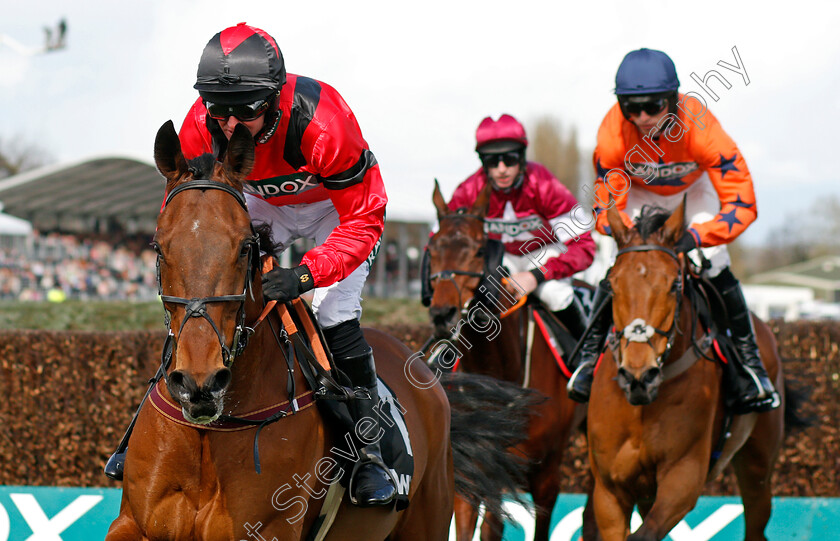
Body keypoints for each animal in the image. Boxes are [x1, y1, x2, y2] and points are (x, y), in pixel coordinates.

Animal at [109, 121, 460, 540]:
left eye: (245, 247)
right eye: (159, 247)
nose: (199, 382)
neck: (211, 430)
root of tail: (423, 365)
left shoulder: (265, 528)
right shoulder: (134, 523)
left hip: (429, 515)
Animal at [588, 201, 792, 540]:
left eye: (674, 285)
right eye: (611, 285)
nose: (639, 377)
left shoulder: (682, 478)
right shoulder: (609, 490)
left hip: (758, 466)